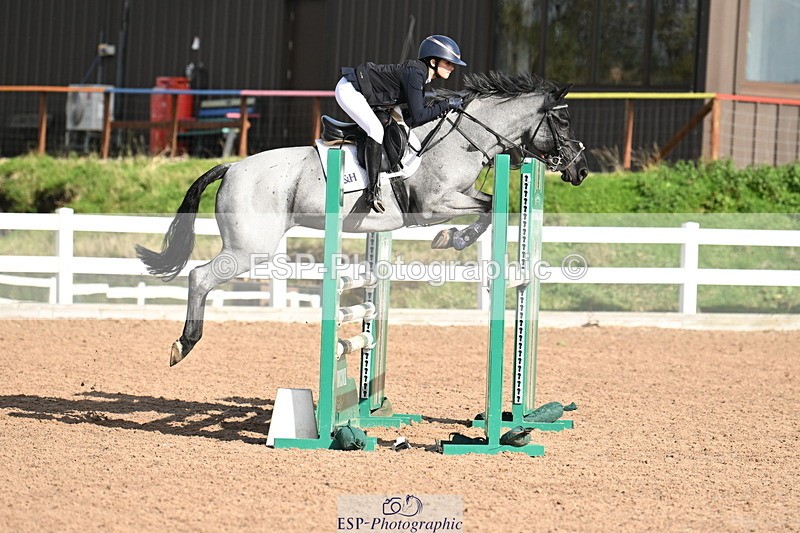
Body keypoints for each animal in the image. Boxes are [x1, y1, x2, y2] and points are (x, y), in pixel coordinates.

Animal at [136, 71, 589, 366]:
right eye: (563, 120)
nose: (581, 171)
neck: (465, 136)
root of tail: (231, 167)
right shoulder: (432, 204)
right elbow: (489, 209)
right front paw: (452, 239)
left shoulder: (459, 196)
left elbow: (493, 204)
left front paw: (452, 239)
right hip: (250, 248)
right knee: (200, 277)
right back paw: (184, 344)